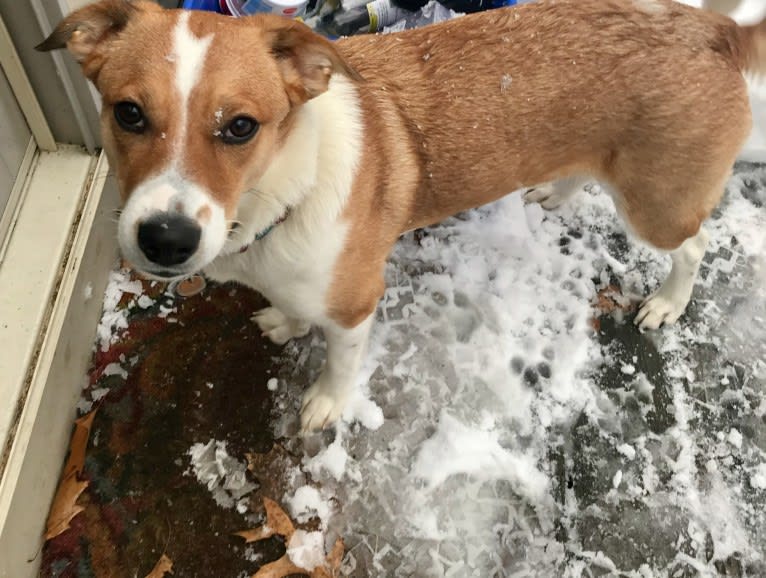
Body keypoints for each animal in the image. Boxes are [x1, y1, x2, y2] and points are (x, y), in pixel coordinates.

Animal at [40, 0, 766, 430]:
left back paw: (668, 303)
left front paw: (326, 405)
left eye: (241, 127)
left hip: (659, 207)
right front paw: (285, 321)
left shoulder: (356, 302)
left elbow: (338, 364)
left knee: (694, 246)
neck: (278, 195)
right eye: (128, 113)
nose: (165, 240)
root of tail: (717, 29)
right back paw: (556, 195)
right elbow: (292, 308)